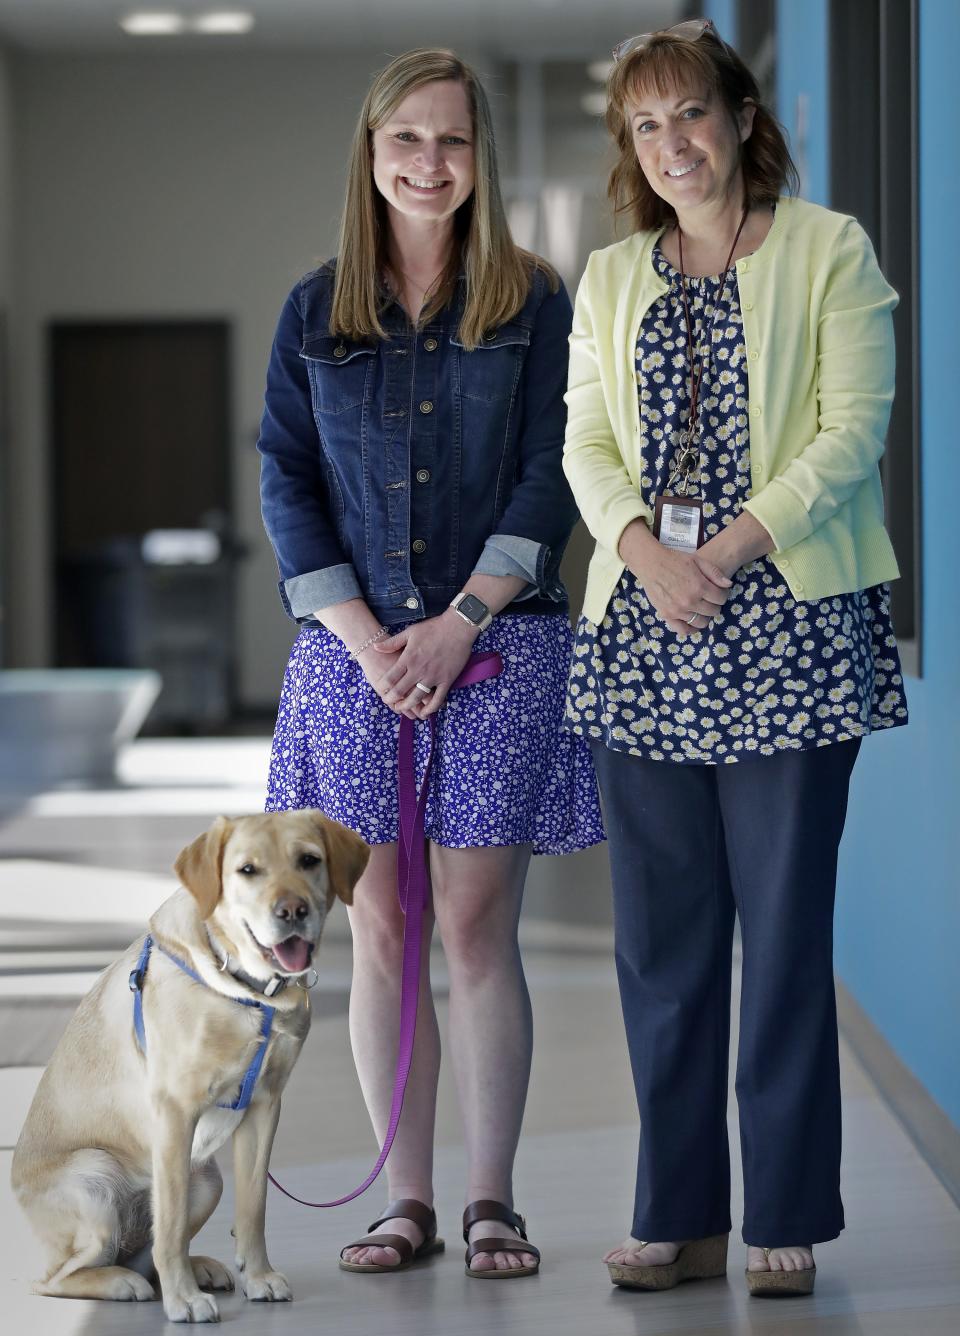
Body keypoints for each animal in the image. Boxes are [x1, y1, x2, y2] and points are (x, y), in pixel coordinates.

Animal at [13, 806, 371, 1319]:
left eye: (309, 860)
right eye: (247, 870)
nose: (292, 911)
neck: (248, 991)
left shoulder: (264, 1107)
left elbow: (253, 1208)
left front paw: (258, 1277)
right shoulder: (174, 1112)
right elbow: (171, 1225)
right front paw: (183, 1300)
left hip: (208, 1181)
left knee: (148, 1249)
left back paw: (194, 1268)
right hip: (95, 1181)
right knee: (60, 1277)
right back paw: (122, 1282)